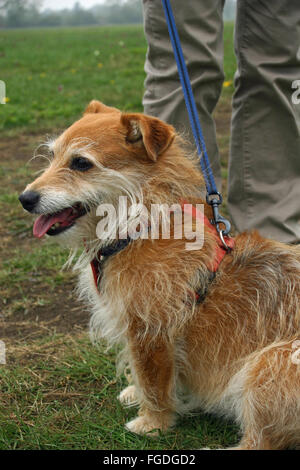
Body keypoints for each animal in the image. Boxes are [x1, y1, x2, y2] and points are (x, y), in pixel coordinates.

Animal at [19, 101, 300, 450]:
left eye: (81, 163)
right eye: (53, 155)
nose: (25, 199)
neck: (141, 223)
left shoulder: (149, 329)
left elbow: (152, 381)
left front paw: (151, 423)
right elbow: (147, 376)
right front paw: (135, 393)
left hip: (269, 364)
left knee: (260, 442)